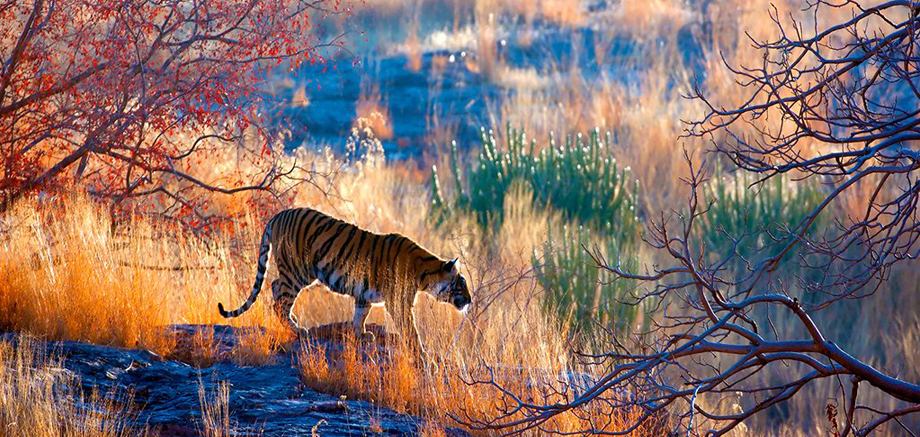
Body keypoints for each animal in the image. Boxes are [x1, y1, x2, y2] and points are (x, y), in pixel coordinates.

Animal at [218, 206, 470, 356]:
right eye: (461, 285)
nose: (469, 300)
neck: (425, 274)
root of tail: (278, 215)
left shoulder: (364, 295)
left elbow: (360, 316)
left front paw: (362, 335)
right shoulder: (399, 303)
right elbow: (411, 330)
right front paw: (422, 354)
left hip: (296, 272)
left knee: (274, 288)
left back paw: (294, 321)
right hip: (297, 271)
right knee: (279, 298)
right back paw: (298, 328)